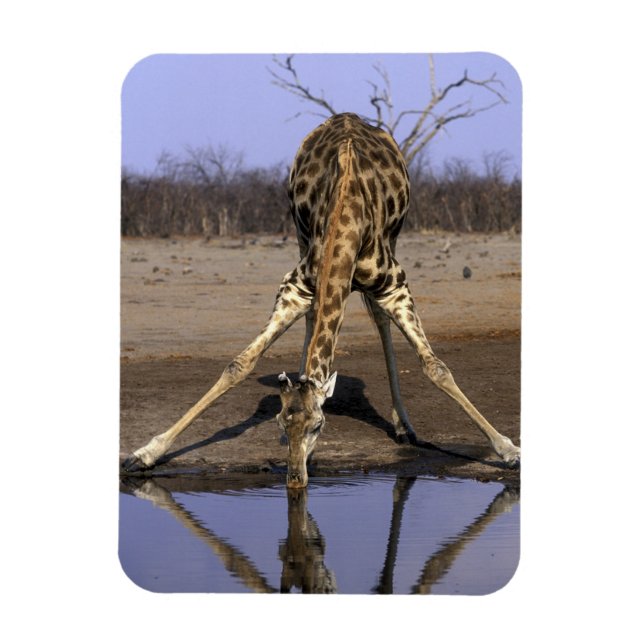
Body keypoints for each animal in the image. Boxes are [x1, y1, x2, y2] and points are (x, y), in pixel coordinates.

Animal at [123, 113, 520, 486]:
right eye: (281, 424)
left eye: (319, 425)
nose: (295, 479)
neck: (347, 215)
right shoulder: (295, 286)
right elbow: (239, 364)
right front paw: (143, 454)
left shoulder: (395, 285)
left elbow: (436, 367)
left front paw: (509, 450)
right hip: (299, 234)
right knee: (317, 315)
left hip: (394, 241)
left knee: (378, 320)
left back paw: (403, 427)